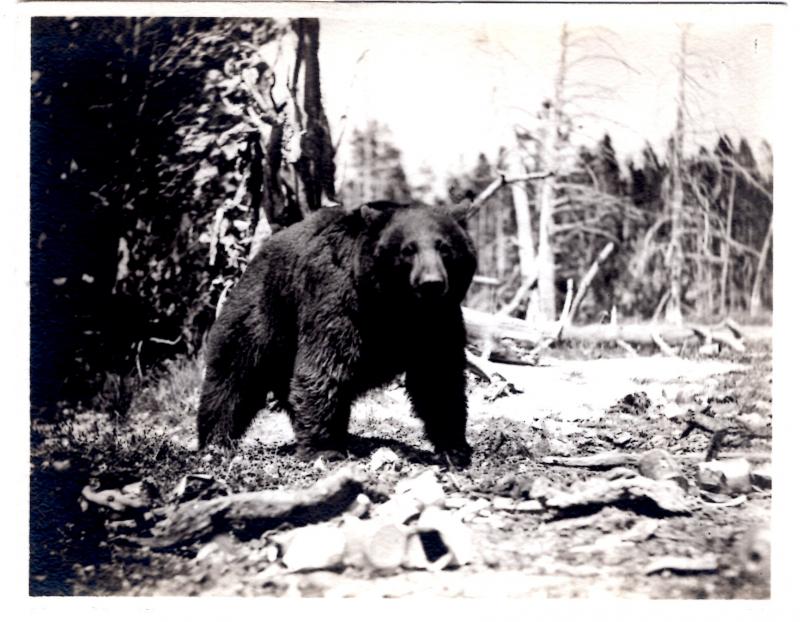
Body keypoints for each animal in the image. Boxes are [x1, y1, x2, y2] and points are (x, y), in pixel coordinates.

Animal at [198, 202, 478, 466]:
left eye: (444, 247)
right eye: (407, 250)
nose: (432, 284)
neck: (396, 306)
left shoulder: (438, 319)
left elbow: (438, 377)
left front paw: (454, 448)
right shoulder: (338, 300)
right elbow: (326, 367)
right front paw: (324, 450)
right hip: (263, 315)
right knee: (232, 377)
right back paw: (214, 443)